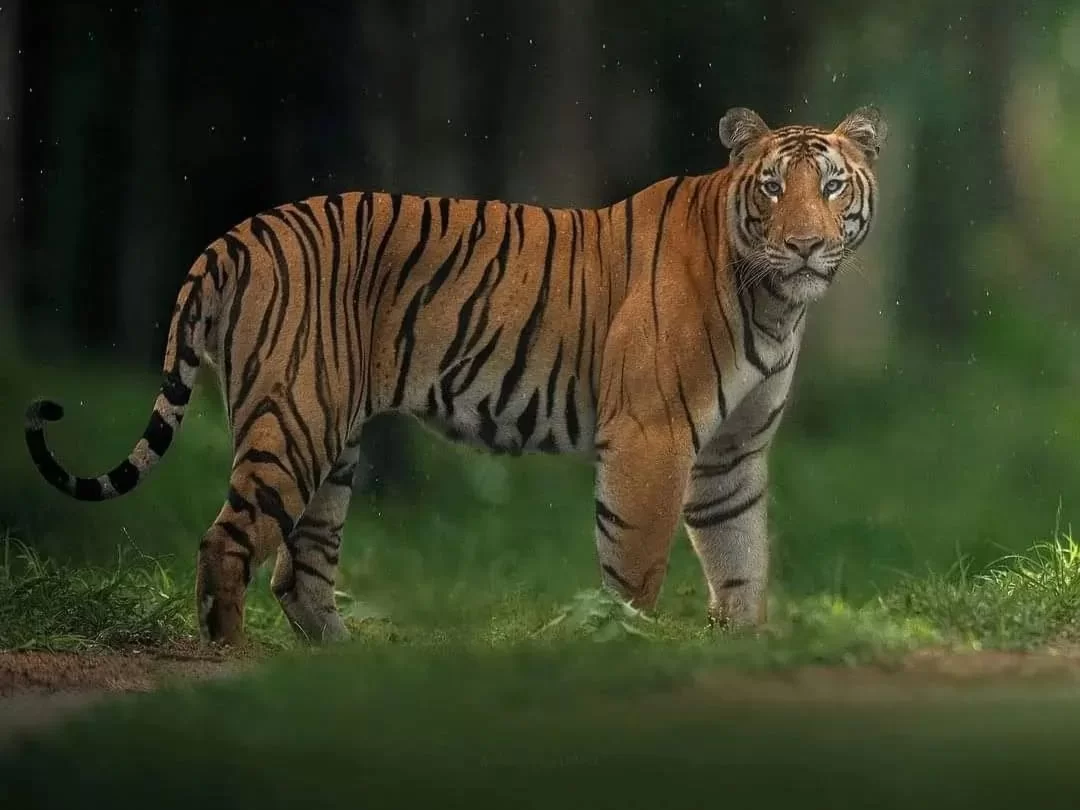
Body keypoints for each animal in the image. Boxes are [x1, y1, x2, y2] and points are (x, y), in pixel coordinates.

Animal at [24, 105, 887, 646]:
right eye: (773, 186)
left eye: (831, 185)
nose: (806, 246)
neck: (776, 303)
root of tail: (237, 235)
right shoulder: (654, 434)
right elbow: (637, 562)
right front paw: (626, 645)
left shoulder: (731, 455)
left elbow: (742, 558)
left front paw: (743, 648)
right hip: (294, 422)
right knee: (227, 544)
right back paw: (232, 657)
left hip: (329, 441)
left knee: (300, 571)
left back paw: (354, 664)